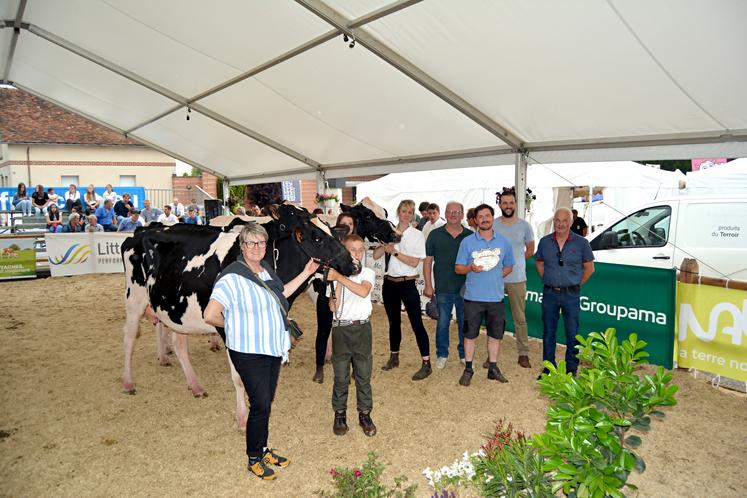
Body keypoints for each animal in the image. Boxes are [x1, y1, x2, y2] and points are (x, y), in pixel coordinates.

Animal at [122, 202, 356, 428]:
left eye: (333, 233)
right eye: (317, 238)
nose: (354, 264)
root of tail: (142, 231)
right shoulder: (227, 329)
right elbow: (240, 378)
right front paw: (243, 418)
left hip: (178, 309)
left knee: (179, 344)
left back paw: (195, 386)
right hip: (134, 298)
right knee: (130, 338)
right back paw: (129, 382)